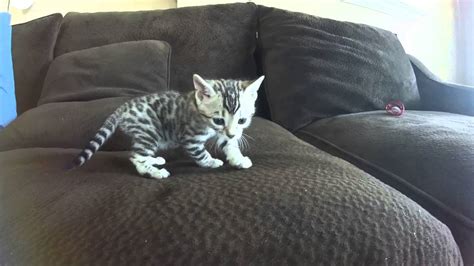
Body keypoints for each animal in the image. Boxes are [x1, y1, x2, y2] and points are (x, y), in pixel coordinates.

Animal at [71, 74, 264, 180]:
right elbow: (201, 153)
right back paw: (154, 172)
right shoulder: (190, 139)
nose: (232, 134)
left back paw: (155, 160)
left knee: (137, 154)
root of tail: (123, 107)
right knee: (136, 157)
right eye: (218, 120)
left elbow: (230, 144)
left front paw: (238, 158)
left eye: (242, 120)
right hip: (149, 131)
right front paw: (211, 161)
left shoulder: (226, 134)